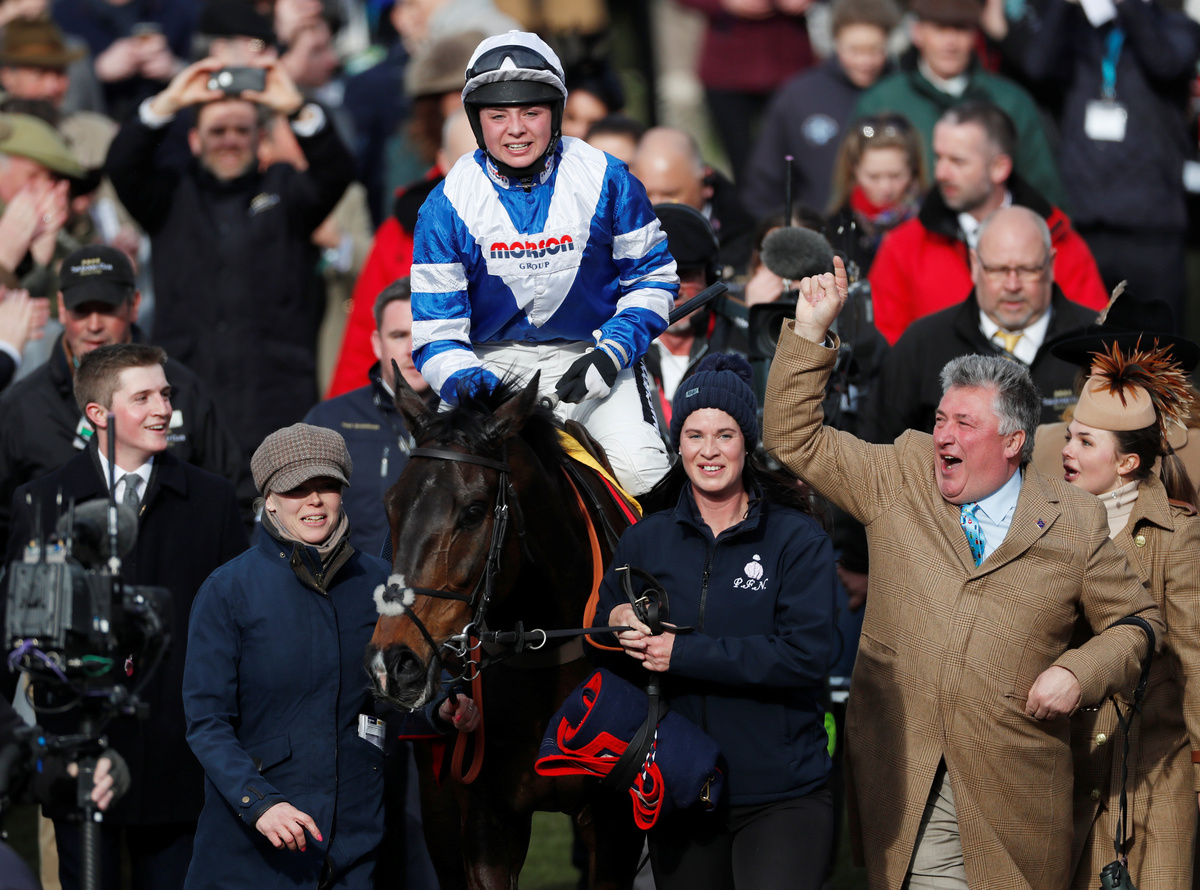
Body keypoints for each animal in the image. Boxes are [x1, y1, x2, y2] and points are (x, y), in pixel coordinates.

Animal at [366, 371, 645, 890]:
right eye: (391, 506)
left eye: (474, 511)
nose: (393, 664)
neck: (547, 650)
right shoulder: (484, 816)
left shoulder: (615, 819)